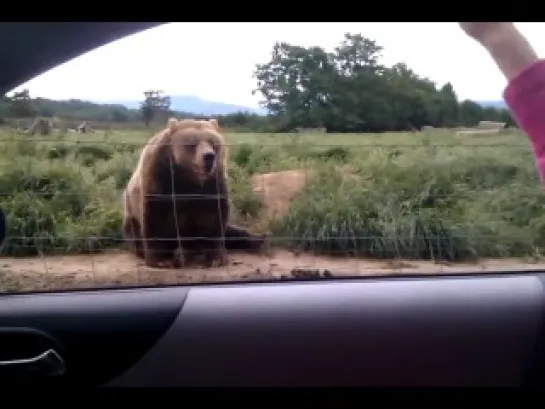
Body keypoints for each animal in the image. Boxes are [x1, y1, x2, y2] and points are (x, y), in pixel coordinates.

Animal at [121, 116, 266, 268]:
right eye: (192, 144)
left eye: (213, 143)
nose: (209, 156)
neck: (189, 178)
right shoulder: (160, 178)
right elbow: (155, 217)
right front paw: (161, 260)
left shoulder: (212, 184)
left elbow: (215, 217)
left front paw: (216, 258)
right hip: (130, 216)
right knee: (134, 232)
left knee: (231, 231)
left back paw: (259, 239)